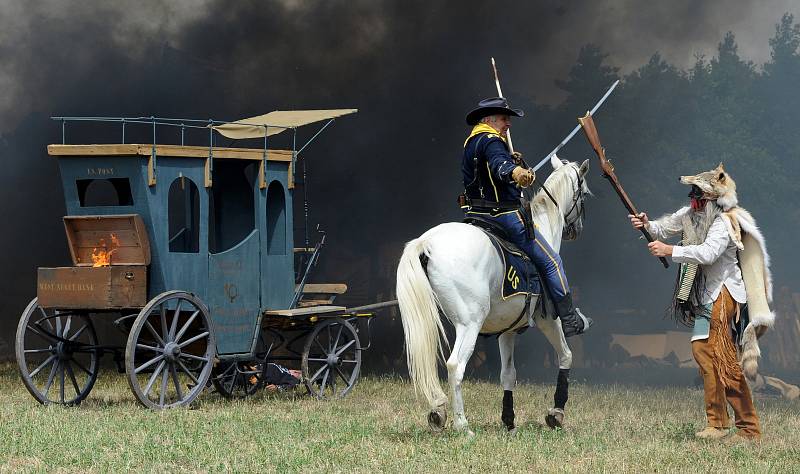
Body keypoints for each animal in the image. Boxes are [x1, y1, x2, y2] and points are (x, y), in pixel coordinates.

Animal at [396, 156, 592, 434]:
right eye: (583, 193)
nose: (575, 230)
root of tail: (428, 242)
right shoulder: (548, 319)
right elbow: (566, 355)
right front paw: (556, 412)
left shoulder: (507, 330)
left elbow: (508, 374)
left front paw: (509, 420)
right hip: (469, 323)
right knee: (455, 365)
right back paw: (462, 425)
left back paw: (438, 411)